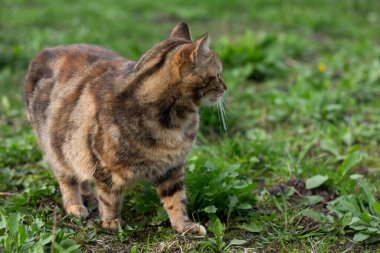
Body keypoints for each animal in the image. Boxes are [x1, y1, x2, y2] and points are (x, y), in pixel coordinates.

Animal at [23, 21, 226, 235]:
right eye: (219, 74)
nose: (226, 87)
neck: (174, 122)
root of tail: (45, 50)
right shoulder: (105, 167)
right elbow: (110, 198)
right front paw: (111, 222)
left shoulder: (172, 167)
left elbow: (176, 200)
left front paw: (184, 226)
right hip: (56, 149)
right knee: (67, 179)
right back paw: (75, 205)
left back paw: (88, 196)